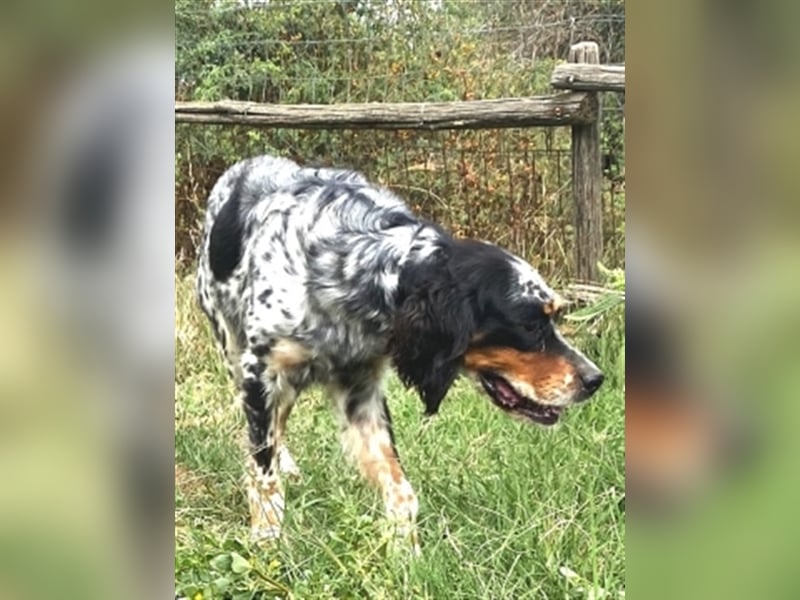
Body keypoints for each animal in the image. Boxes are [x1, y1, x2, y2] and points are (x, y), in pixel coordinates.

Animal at [197, 155, 604, 552]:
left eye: (552, 317)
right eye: (530, 325)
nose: (595, 379)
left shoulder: (361, 391)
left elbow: (401, 489)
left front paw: (407, 555)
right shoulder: (261, 374)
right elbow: (263, 472)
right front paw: (267, 537)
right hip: (235, 350)